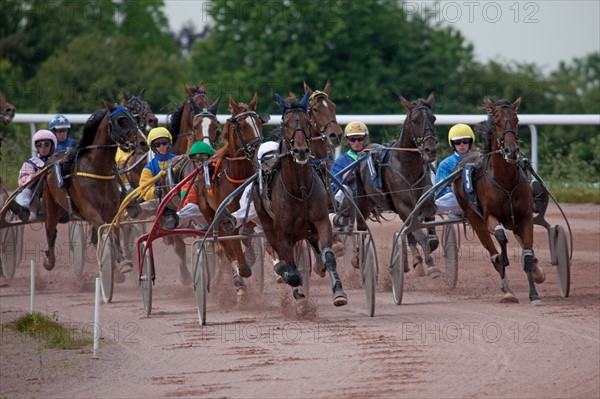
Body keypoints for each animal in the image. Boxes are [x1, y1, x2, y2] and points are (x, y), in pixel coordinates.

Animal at [42, 101, 143, 274]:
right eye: (122, 120)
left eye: (134, 117)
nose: (143, 141)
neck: (97, 169)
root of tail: (51, 160)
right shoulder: (90, 211)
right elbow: (105, 230)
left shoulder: (111, 210)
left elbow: (113, 230)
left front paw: (122, 261)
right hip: (51, 206)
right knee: (50, 229)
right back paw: (49, 261)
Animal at [252, 94, 346, 310]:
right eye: (285, 123)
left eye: (307, 122)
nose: (301, 150)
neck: (299, 189)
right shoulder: (283, 233)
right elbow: (292, 271)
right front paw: (298, 291)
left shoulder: (322, 220)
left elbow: (329, 256)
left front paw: (339, 292)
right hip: (267, 224)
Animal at [354, 93, 438, 276]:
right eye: (414, 120)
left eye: (433, 118)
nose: (431, 150)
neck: (408, 167)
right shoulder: (403, 205)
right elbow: (419, 234)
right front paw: (431, 264)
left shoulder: (423, 202)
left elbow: (428, 227)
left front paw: (426, 255)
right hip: (362, 202)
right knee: (361, 228)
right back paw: (358, 259)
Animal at [452, 97, 548, 304]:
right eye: (496, 122)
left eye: (517, 120)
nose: (511, 151)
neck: (505, 181)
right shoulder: (489, 218)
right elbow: (501, 239)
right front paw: (509, 289)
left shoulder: (525, 217)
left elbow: (528, 255)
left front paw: (534, 293)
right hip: (475, 220)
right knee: (493, 252)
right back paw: (507, 287)